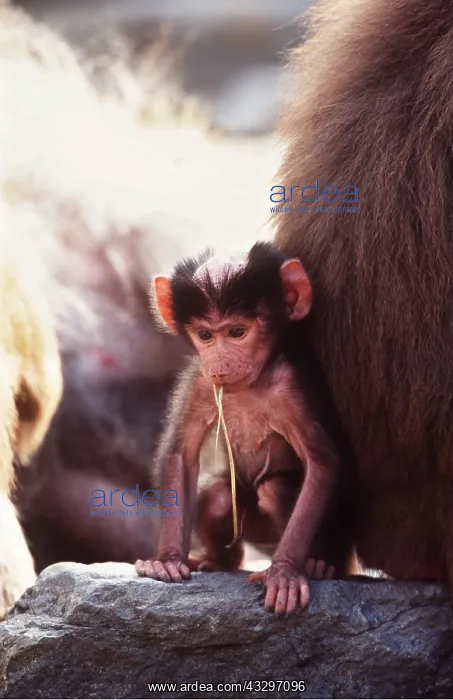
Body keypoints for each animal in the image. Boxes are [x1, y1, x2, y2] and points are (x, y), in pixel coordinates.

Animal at [135, 242, 356, 615]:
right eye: (205, 335)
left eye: (237, 332)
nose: (219, 366)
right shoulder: (199, 382)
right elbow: (181, 456)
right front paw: (167, 559)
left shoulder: (291, 385)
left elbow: (323, 463)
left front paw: (284, 573)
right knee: (218, 494)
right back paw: (218, 560)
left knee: (274, 489)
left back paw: (316, 563)